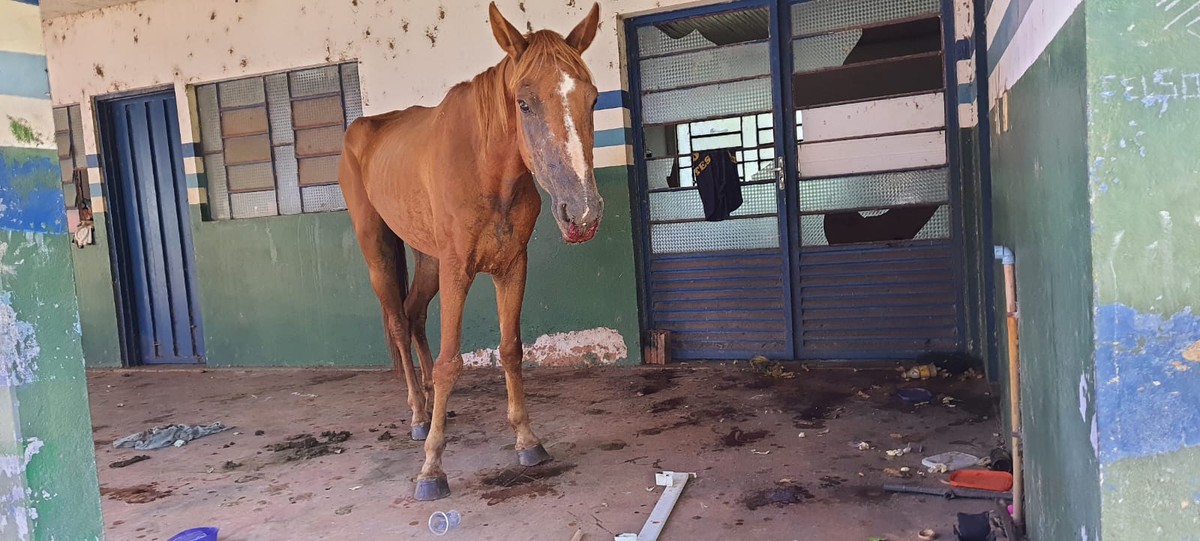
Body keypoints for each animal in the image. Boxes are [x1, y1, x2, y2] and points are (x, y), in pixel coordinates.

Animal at [336, 3, 600, 499]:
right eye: (523, 103)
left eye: (593, 99)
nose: (583, 212)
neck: (487, 168)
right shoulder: (458, 269)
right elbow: (449, 363)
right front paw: (431, 469)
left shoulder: (511, 265)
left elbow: (511, 349)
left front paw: (527, 440)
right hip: (377, 248)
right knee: (398, 322)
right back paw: (420, 416)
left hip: (429, 259)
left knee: (415, 314)